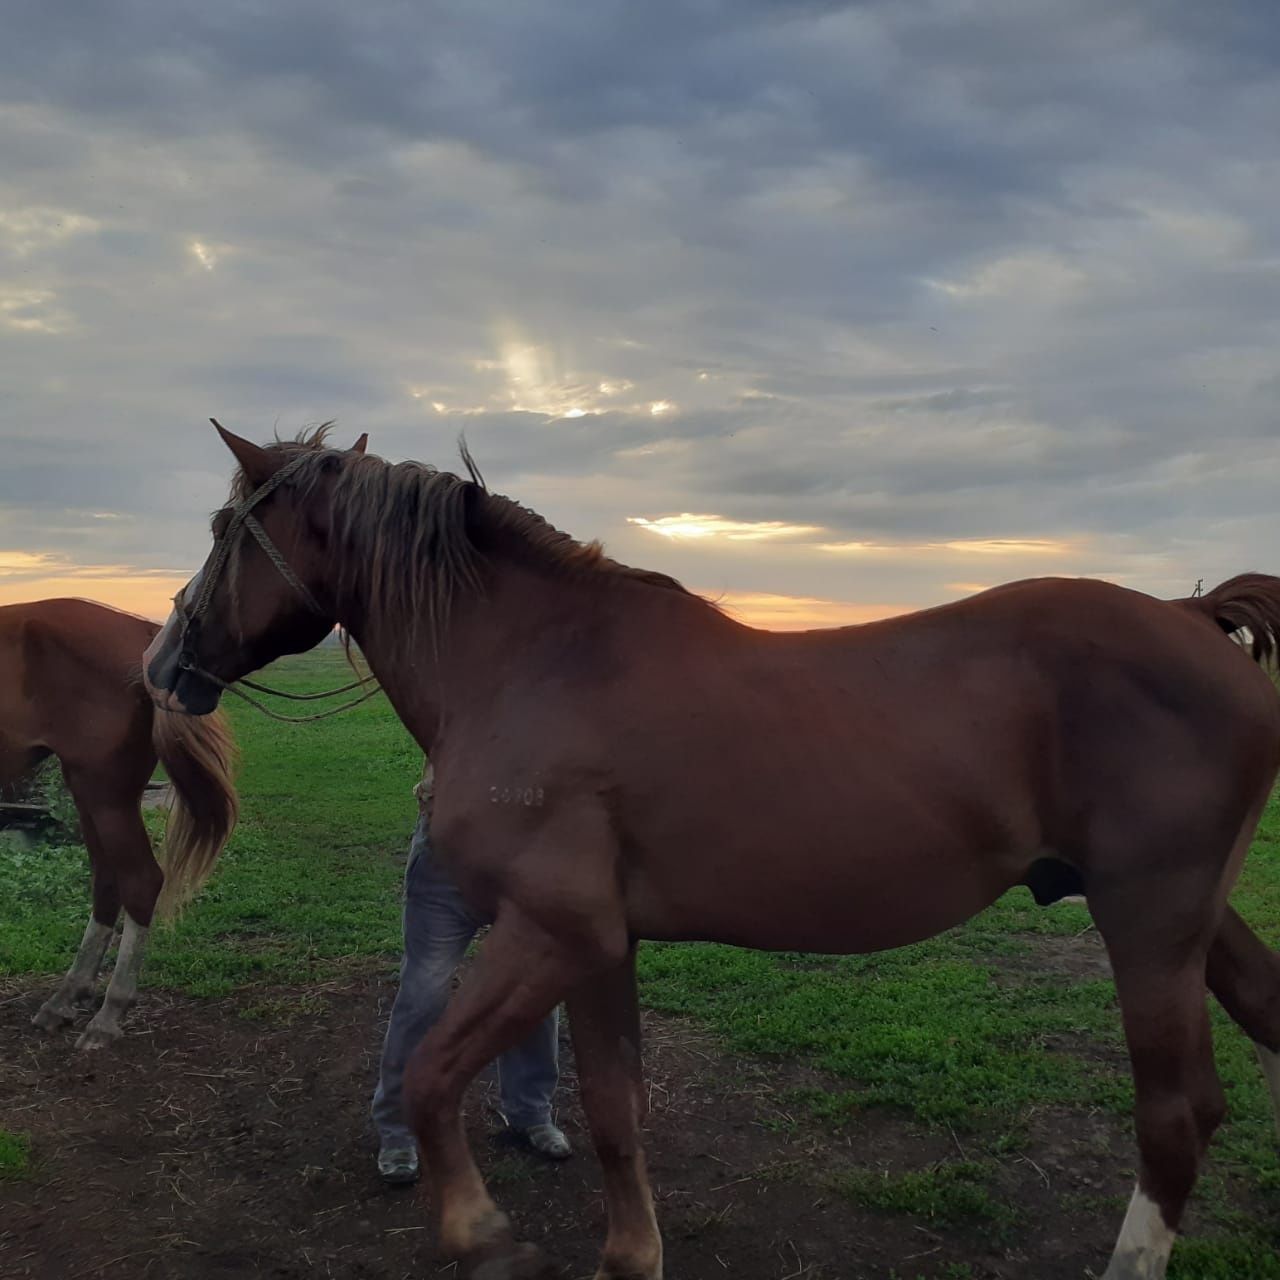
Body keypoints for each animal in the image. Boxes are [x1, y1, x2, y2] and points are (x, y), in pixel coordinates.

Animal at [2, 593, 239, 1044]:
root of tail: (146, 637)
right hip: (88, 790)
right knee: (108, 881)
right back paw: (68, 996)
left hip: (105, 793)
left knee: (140, 881)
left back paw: (110, 1011)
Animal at [140, 427, 1280, 1280]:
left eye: (223, 529)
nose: (162, 661)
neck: (533, 665)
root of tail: (1190, 616)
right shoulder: (599, 946)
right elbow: (613, 1106)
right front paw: (629, 1256)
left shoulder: (552, 932)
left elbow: (430, 1075)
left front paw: (479, 1231)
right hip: (1191, 923)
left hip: (1147, 924)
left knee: (1173, 1118)